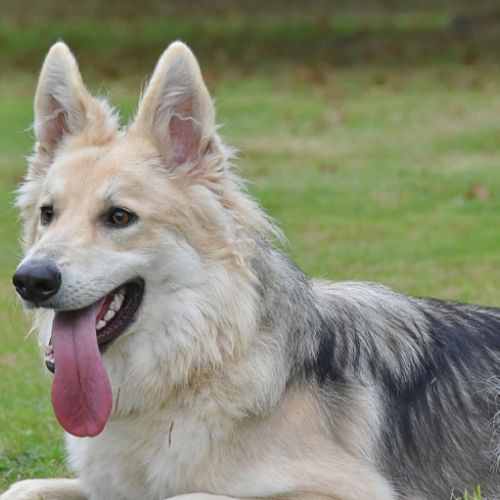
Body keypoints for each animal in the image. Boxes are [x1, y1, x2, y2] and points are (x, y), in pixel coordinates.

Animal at [2, 40, 500, 500]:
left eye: (120, 217)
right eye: (48, 214)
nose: (31, 281)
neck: (199, 360)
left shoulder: (351, 489)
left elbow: (188, 494)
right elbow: (21, 486)